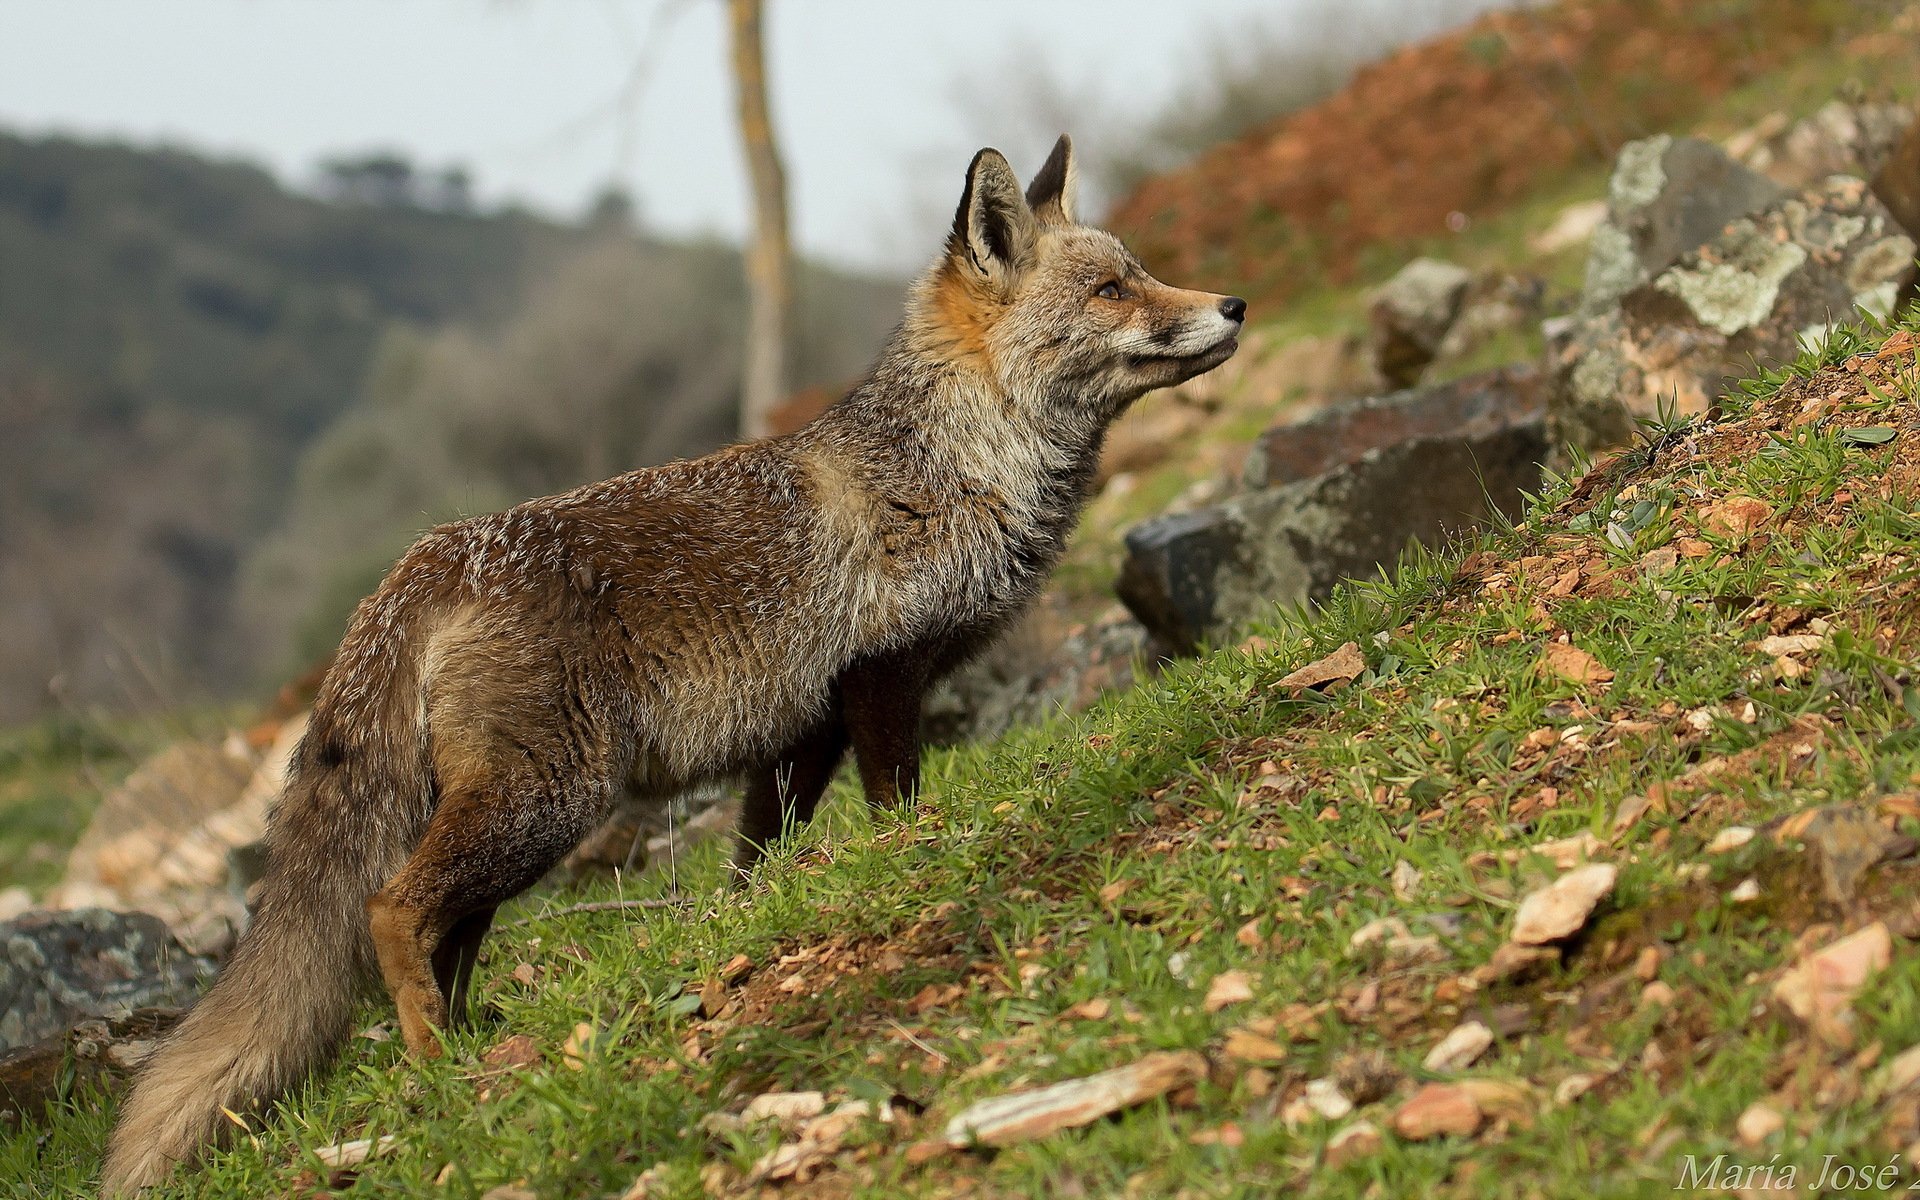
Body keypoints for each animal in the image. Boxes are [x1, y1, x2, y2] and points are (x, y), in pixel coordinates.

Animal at [101, 138, 1244, 1190]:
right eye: (1112, 289)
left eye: (1140, 270)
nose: (1232, 303)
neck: (951, 467)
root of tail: (424, 558)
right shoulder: (880, 680)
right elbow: (898, 808)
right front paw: (912, 864)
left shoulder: (801, 730)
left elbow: (758, 865)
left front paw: (770, 925)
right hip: (546, 801)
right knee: (392, 908)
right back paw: (438, 1070)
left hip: (511, 822)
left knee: (446, 936)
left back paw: (471, 1043)